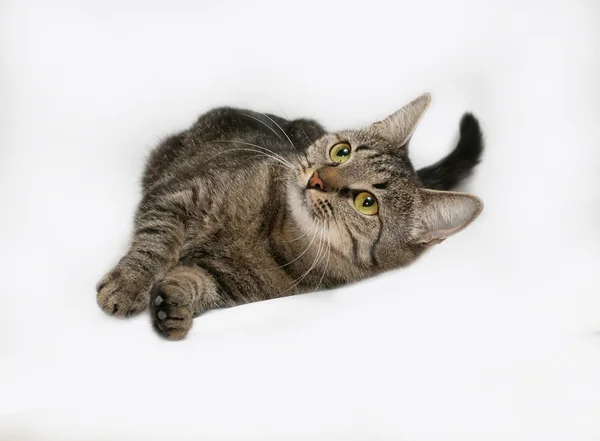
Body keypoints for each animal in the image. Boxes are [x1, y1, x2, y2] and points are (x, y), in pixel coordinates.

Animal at [96, 93, 486, 340]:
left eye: (367, 202)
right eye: (341, 152)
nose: (317, 179)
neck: (273, 231)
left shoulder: (230, 282)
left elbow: (199, 281)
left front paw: (173, 303)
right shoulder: (181, 194)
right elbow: (155, 245)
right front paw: (129, 285)